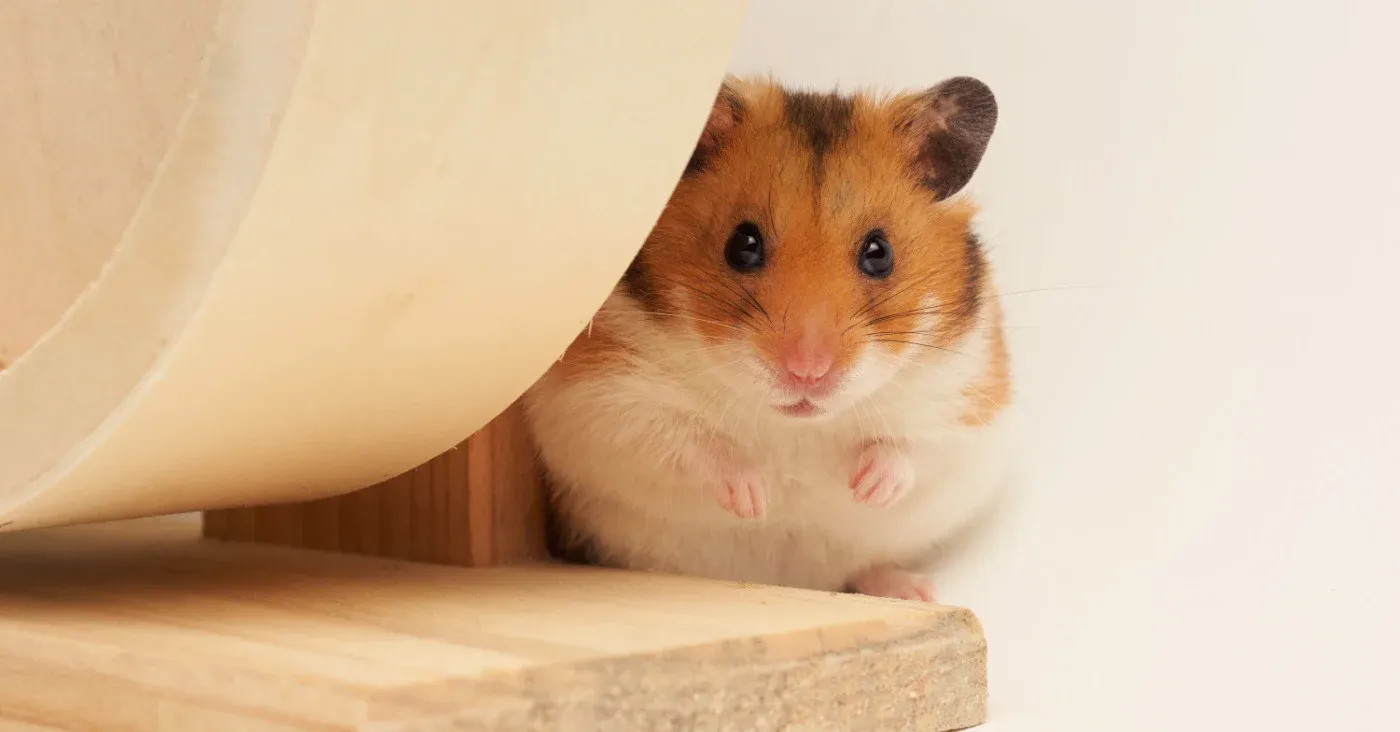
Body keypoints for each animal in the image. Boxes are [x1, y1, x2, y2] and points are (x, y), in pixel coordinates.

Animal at [522, 76, 1012, 602]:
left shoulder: (968, 400)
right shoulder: (603, 397)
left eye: (879, 253)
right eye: (743, 244)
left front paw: (863, 488)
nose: (808, 371)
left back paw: (913, 591)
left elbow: (915, 448)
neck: (793, 426)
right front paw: (759, 499)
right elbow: (687, 440)